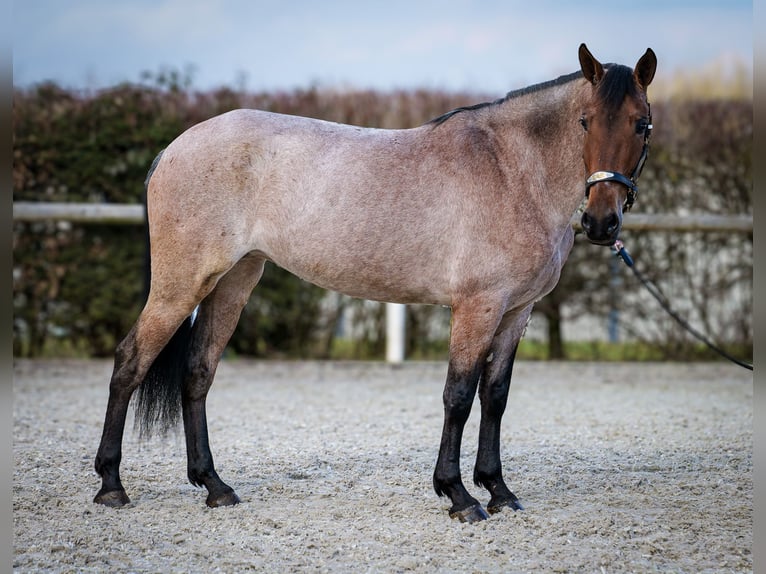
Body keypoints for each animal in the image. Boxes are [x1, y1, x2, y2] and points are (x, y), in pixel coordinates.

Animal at [94, 42, 660, 524]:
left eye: (642, 125)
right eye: (585, 122)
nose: (601, 223)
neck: (511, 170)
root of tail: (173, 149)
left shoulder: (516, 312)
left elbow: (495, 397)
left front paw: (499, 491)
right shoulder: (477, 307)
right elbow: (459, 395)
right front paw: (459, 495)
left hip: (234, 281)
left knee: (198, 372)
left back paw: (215, 487)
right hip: (182, 284)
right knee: (130, 361)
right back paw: (111, 486)